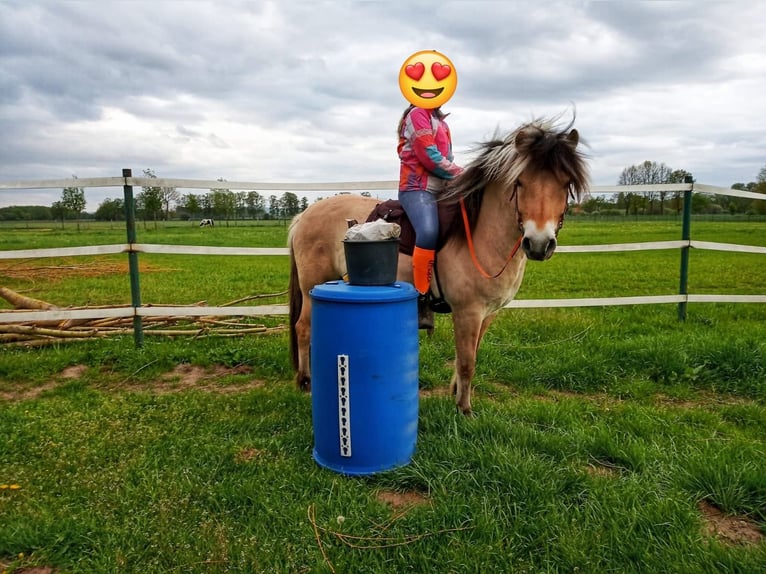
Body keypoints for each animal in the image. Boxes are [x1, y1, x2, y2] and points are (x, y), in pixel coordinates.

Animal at [287, 116, 589, 415]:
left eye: (566, 183)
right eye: (520, 182)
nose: (539, 243)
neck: (480, 234)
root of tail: (305, 214)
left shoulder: (488, 314)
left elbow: (471, 354)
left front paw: (456, 394)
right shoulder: (467, 311)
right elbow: (467, 362)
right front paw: (464, 410)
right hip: (313, 285)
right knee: (303, 328)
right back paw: (305, 381)